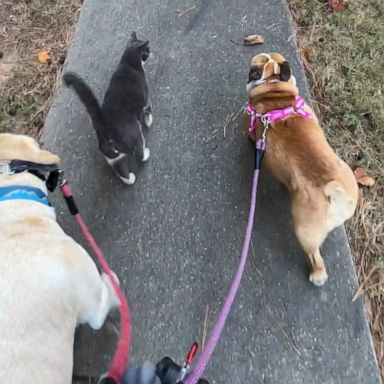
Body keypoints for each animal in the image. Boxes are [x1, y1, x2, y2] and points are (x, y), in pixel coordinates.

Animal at [63, 31, 152, 184]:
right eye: (147, 49)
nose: (151, 52)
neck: (127, 64)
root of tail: (104, 126)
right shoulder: (145, 98)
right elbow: (148, 108)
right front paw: (149, 120)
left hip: (113, 157)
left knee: (120, 169)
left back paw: (129, 179)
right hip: (135, 132)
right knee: (139, 155)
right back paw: (146, 154)